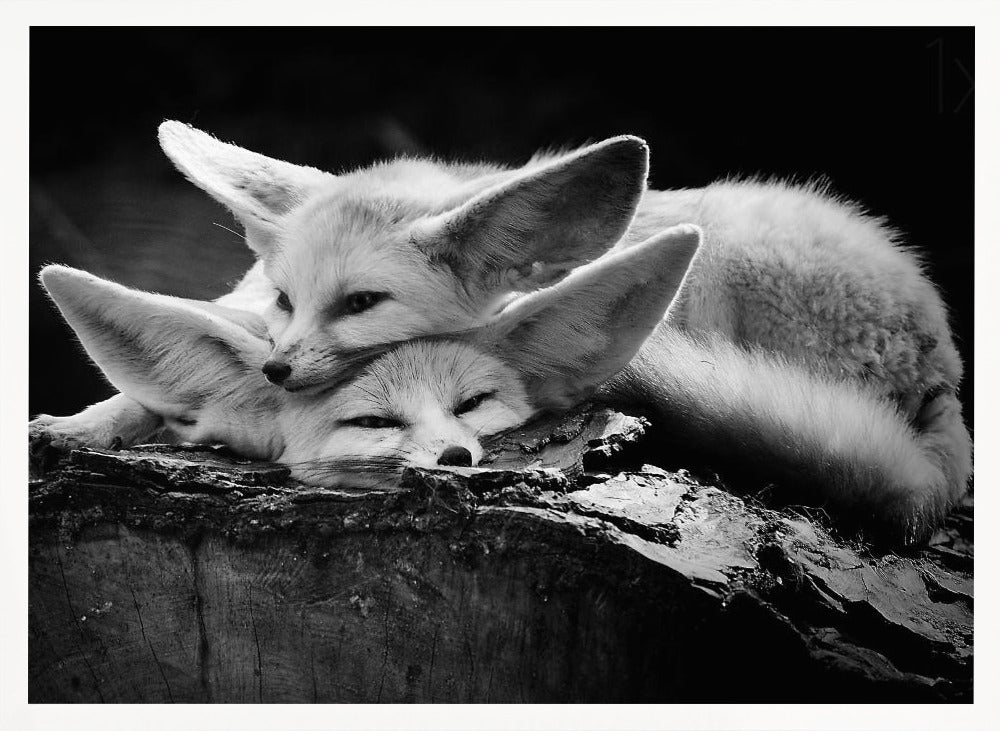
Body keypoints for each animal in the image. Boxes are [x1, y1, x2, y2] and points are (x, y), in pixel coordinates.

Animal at [30, 123, 972, 541]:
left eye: (362, 302)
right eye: (290, 300)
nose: (277, 371)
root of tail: (946, 361)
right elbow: (141, 390)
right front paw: (82, 423)